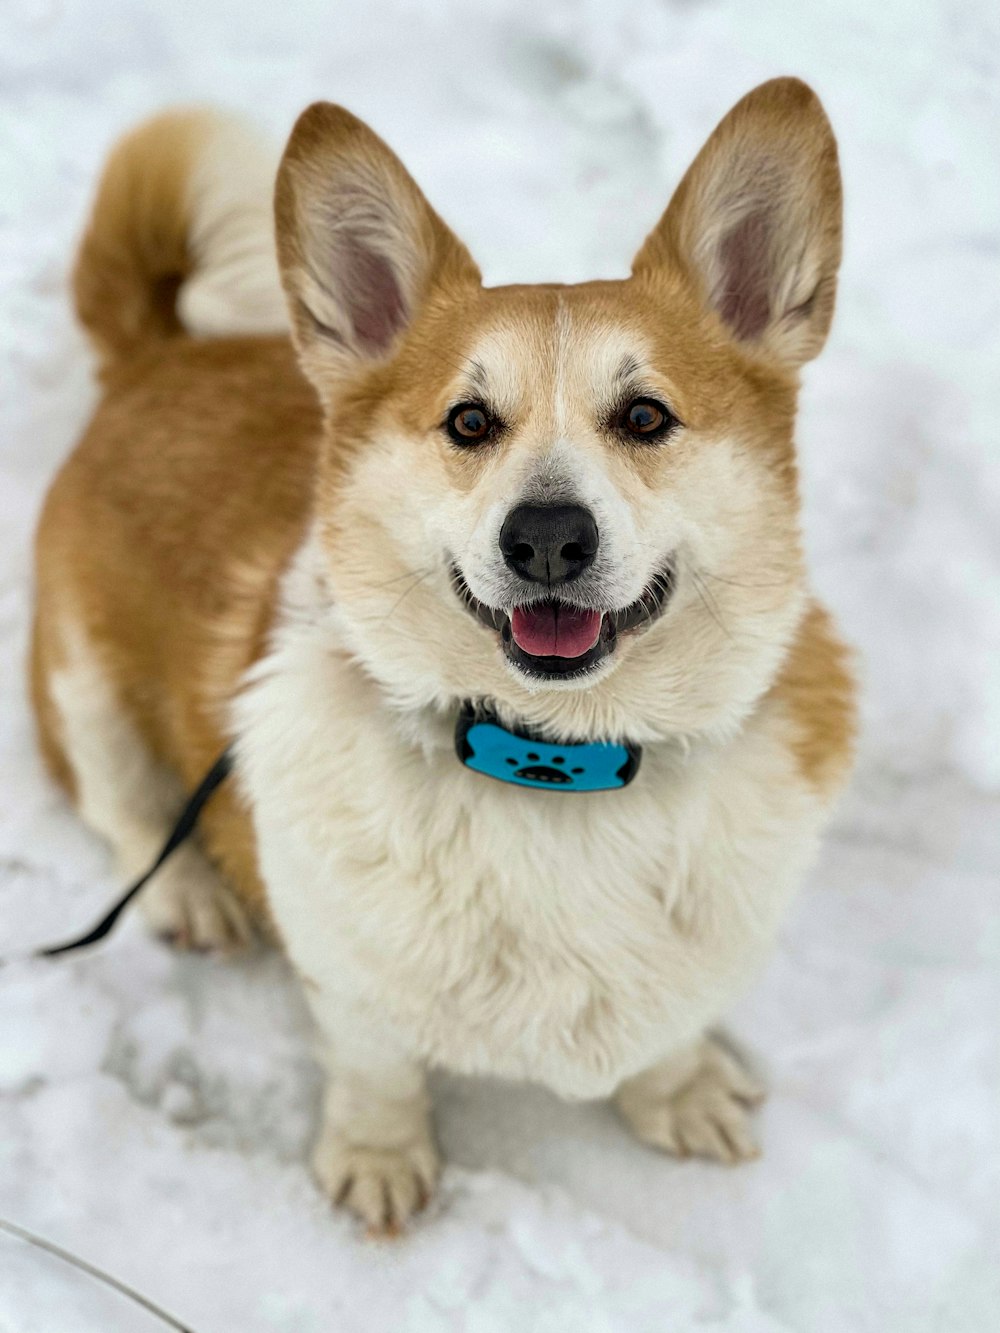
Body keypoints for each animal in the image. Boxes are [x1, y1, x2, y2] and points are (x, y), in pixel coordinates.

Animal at [35, 77, 858, 1231]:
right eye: (469, 422)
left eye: (645, 415)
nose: (546, 537)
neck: (556, 759)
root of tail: (156, 356)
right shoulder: (344, 971)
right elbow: (374, 1062)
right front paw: (379, 1161)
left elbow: (671, 1024)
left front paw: (681, 1089)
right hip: (84, 691)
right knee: (124, 810)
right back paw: (187, 892)